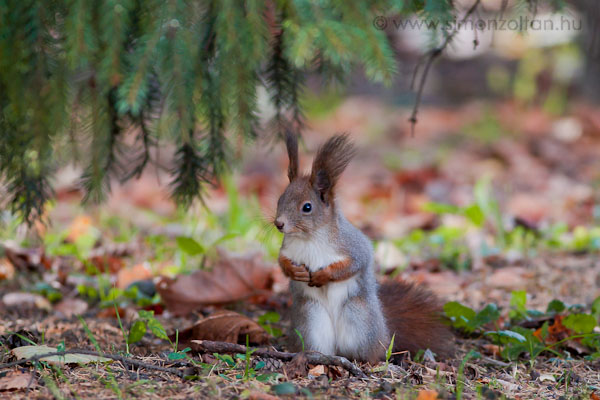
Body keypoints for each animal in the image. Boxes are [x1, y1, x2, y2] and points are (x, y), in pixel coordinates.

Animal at [274, 133, 452, 364]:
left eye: (307, 207)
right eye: (280, 198)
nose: (279, 224)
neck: (309, 238)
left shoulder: (353, 247)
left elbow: (353, 265)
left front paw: (323, 275)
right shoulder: (287, 249)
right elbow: (282, 263)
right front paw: (295, 272)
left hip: (358, 319)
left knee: (371, 352)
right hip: (311, 318)